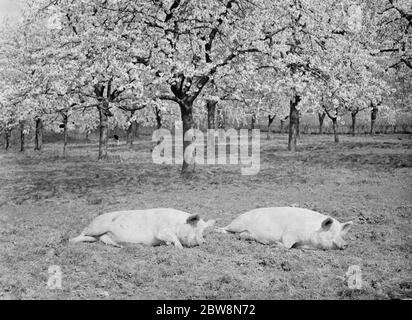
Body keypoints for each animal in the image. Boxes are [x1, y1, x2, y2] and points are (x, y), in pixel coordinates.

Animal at [69, 208, 216, 250]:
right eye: (195, 228)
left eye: (204, 232)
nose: (204, 242)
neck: (177, 224)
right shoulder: (160, 231)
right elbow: (172, 237)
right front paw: (179, 247)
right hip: (96, 227)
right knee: (82, 233)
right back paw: (70, 241)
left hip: (98, 235)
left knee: (103, 240)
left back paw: (120, 246)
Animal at [219, 208, 354, 250]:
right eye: (331, 232)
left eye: (342, 234)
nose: (346, 244)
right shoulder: (290, 232)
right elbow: (287, 244)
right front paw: (274, 244)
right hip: (237, 224)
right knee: (226, 228)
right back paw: (218, 230)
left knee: (241, 235)